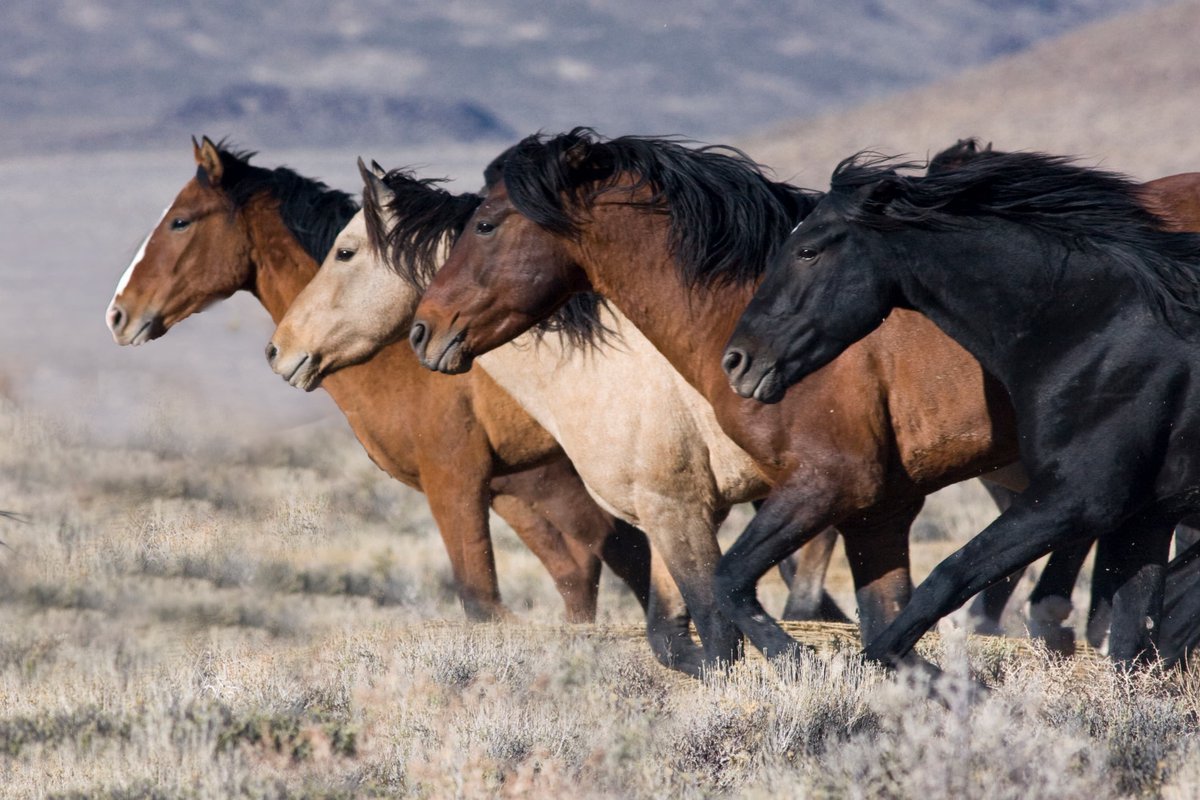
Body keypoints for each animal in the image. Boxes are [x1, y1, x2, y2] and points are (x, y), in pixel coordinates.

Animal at [104, 136, 655, 631]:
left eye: (180, 221)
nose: (117, 314)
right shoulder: (518, 484)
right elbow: (578, 577)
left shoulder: (457, 481)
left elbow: (484, 600)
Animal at [263, 159, 849, 674]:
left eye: (344, 252)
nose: (279, 350)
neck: (609, 364)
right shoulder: (672, 514)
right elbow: (675, 639)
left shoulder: (680, 507)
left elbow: (719, 633)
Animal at [726, 150, 1200, 666]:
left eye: (808, 251)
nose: (737, 360)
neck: (1097, 329)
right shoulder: (1144, 520)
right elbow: (1134, 639)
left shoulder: (1076, 500)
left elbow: (945, 580)